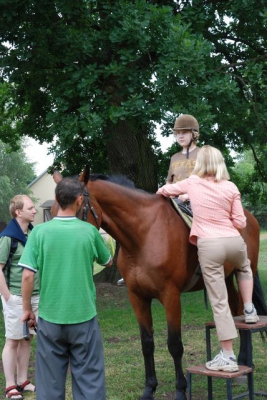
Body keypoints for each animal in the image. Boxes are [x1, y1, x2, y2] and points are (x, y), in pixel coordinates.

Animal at [51, 171, 266, 400]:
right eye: (54, 210)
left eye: (73, 208)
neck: (144, 235)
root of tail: (249, 217)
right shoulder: (137, 297)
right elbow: (147, 343)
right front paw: (149, 388)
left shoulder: (170, 296)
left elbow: (174, 344)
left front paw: (180, 390)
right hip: (224, 277)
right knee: (234, 310)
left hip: (244, 270)